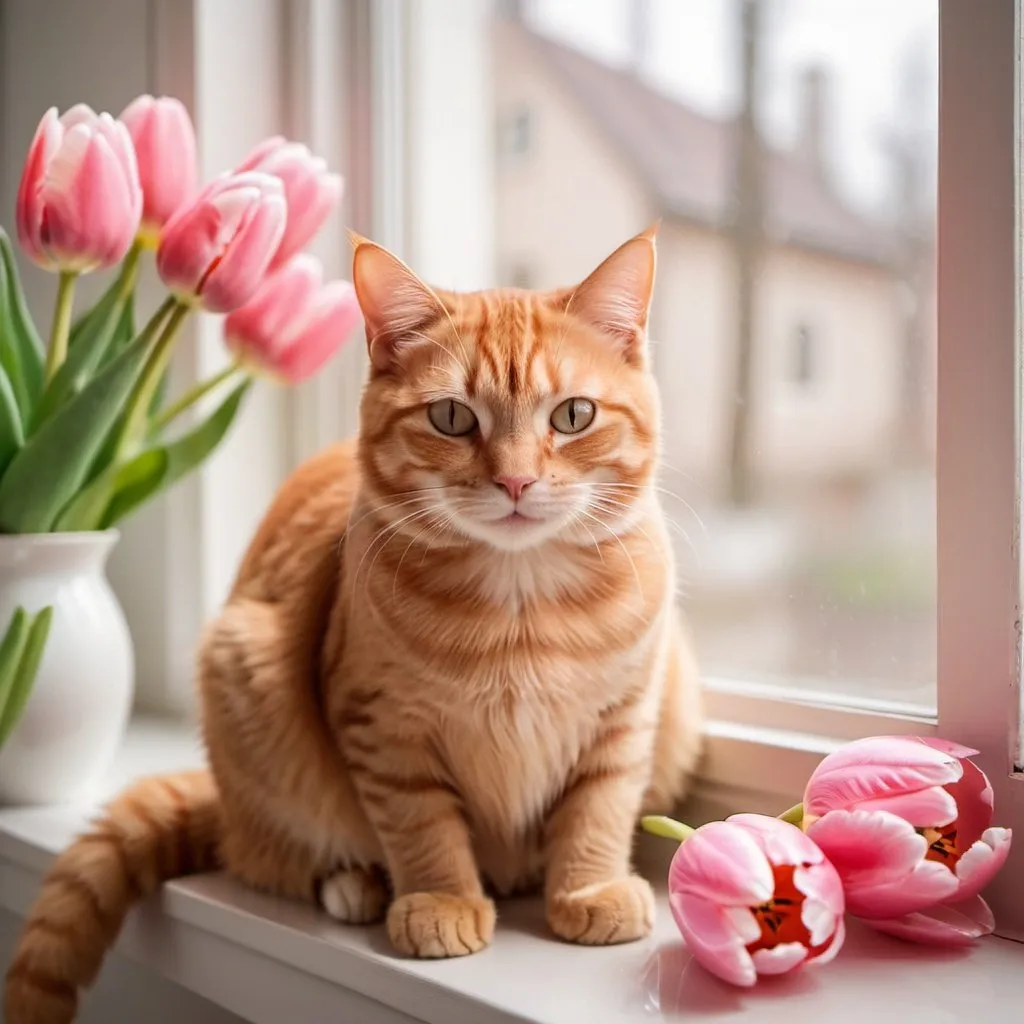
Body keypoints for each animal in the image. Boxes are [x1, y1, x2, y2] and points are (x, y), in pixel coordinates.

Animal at [4, 228, 704, 1019]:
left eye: (574, 416)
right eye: (452, 418)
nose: (516, 481)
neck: (520, 608)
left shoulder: (627, 718)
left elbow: (599, 809)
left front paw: (587, 889)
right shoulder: (383, 727)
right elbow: (423, 826)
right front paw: (441, 901)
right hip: (243, 685)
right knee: (274, 857)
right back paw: (355, 884)